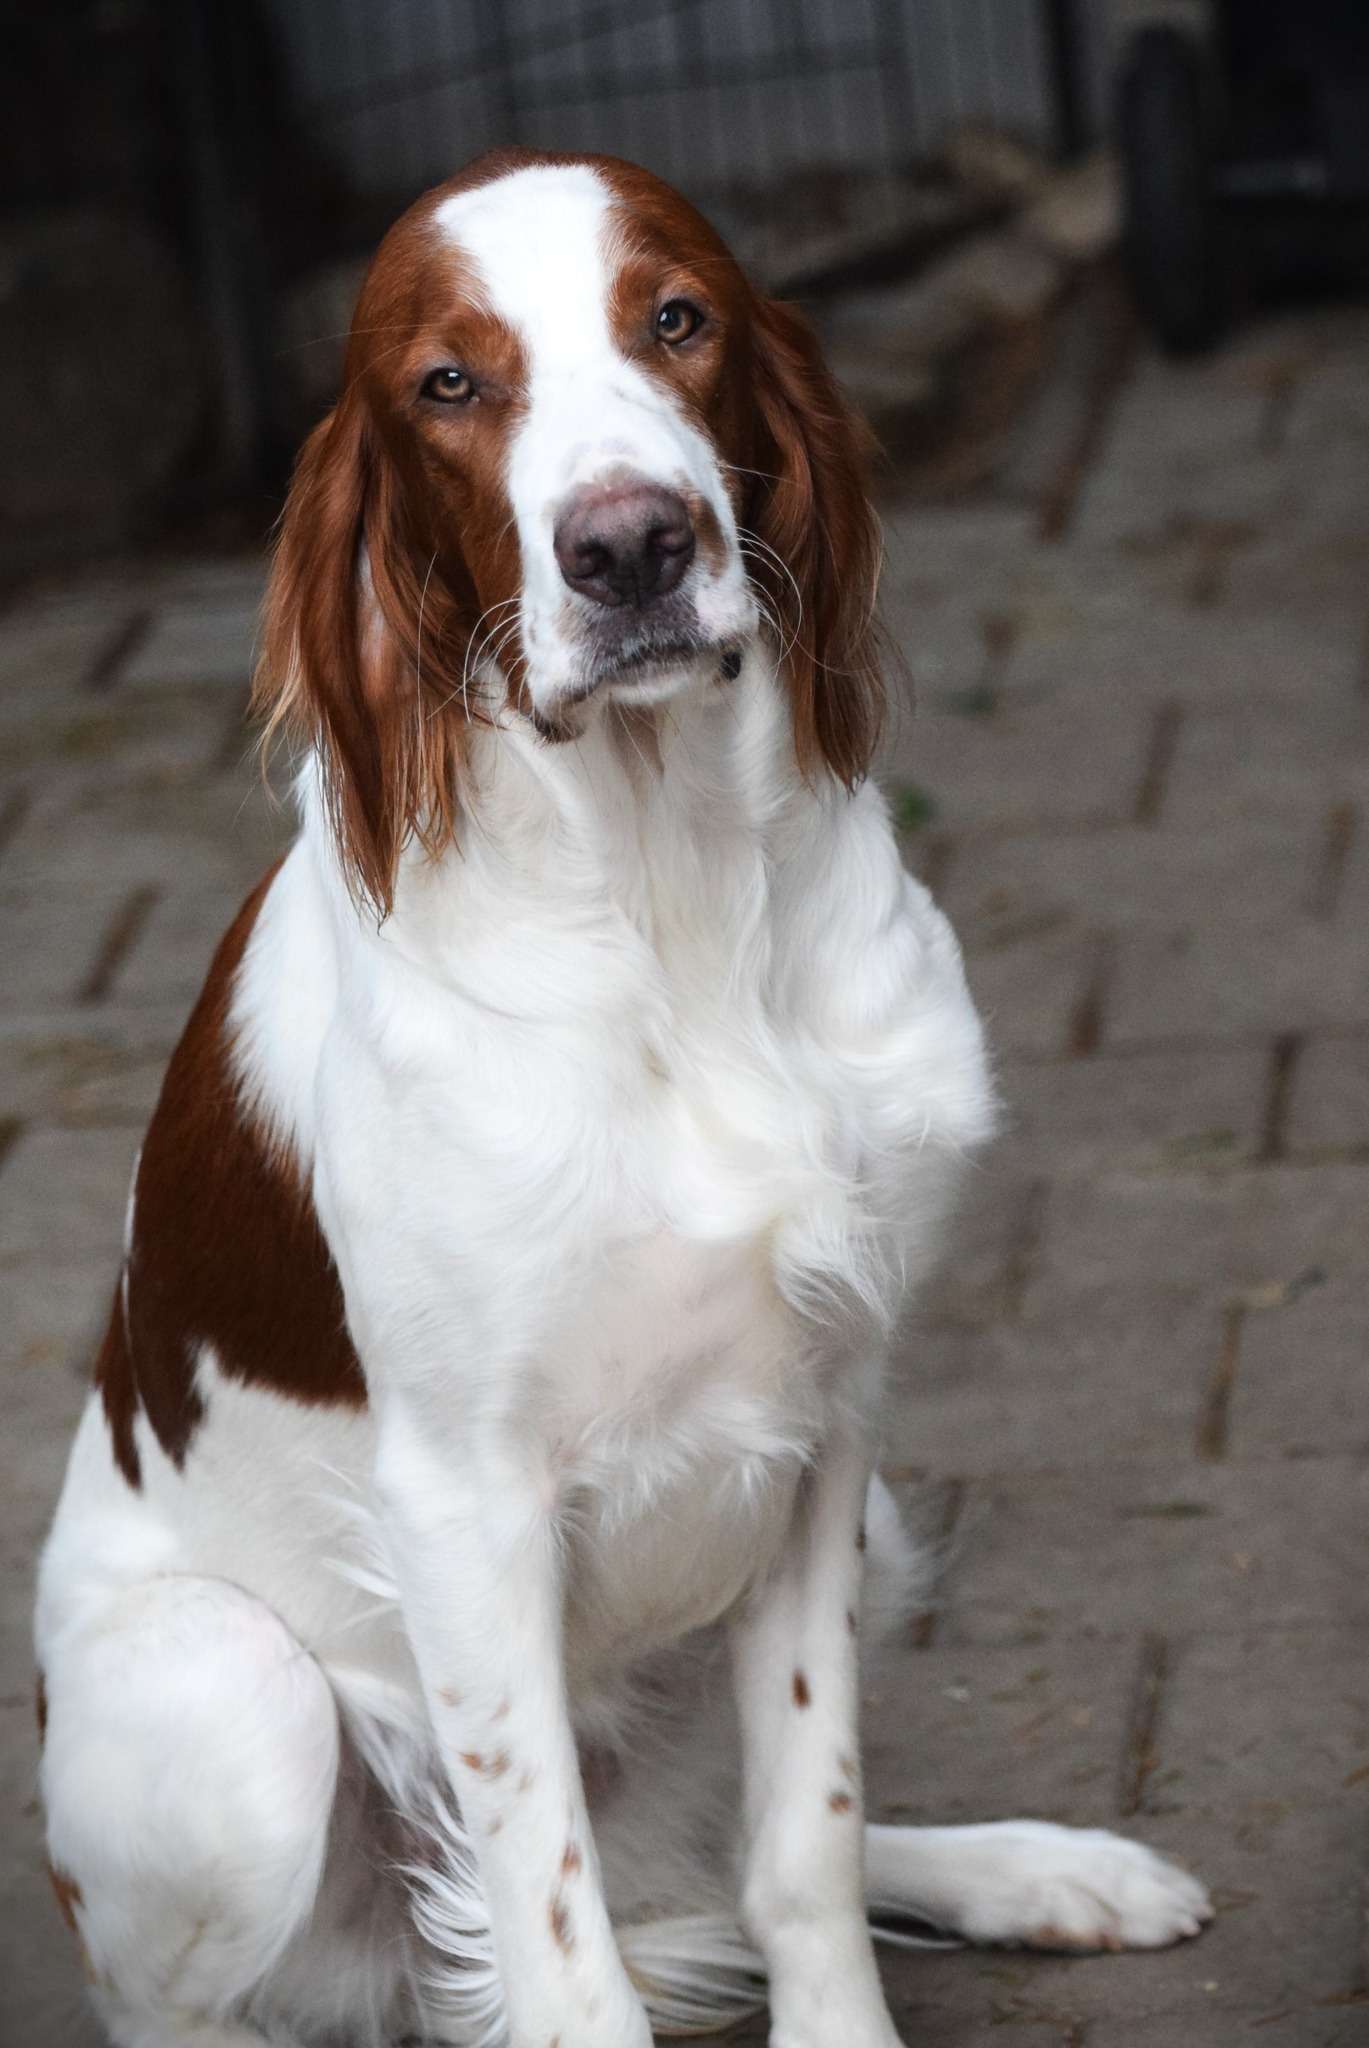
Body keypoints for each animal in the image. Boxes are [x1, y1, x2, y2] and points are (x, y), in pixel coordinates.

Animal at [34, 149, 1210, 2048]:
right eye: (447, 381)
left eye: (676, 317)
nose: (631, 546)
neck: (670, 910)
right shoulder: (463, 1502)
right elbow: (558, 1931)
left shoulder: (825, 1424)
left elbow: (808, 1833)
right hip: (236, 1705)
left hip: (874, 1527)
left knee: (720, 1863)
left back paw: (1045, 1869)